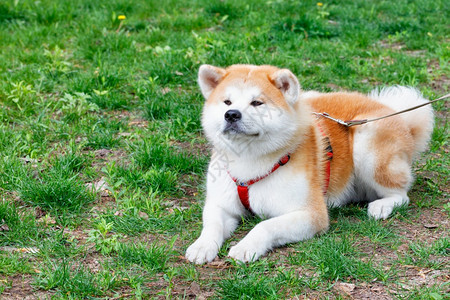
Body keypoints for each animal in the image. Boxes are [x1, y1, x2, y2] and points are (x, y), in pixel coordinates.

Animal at [185, 64, 434, 264]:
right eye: (227, 101)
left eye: (257, 103)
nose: (231, 114)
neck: (249, 161)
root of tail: (401, 119)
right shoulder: (221, 204)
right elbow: (212, 225)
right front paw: (202, 246)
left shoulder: (311, 215)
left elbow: (265, 225)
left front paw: (246, 246)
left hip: (367, 141)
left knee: (401, 194)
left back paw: (382, 206)